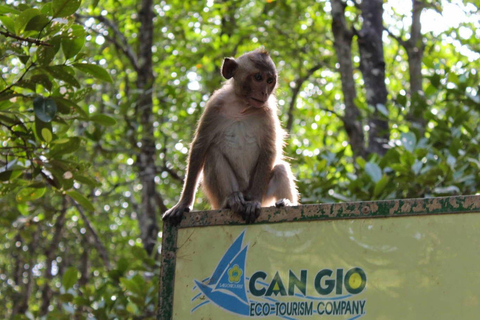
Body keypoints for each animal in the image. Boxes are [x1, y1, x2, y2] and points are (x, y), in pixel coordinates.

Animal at [163, 49, 298, 225]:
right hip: (220, 195)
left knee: (281, 168)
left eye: (270, 80)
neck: (241, 105)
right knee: (213, 153)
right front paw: (183, 204)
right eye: (258, 77)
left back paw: (285, 202)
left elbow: (269, 150)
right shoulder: (214, 106)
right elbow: (200, 146)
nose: (264, 92)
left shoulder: (268, 111)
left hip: (264, 195)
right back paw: (231, 201)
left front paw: (254, 201)